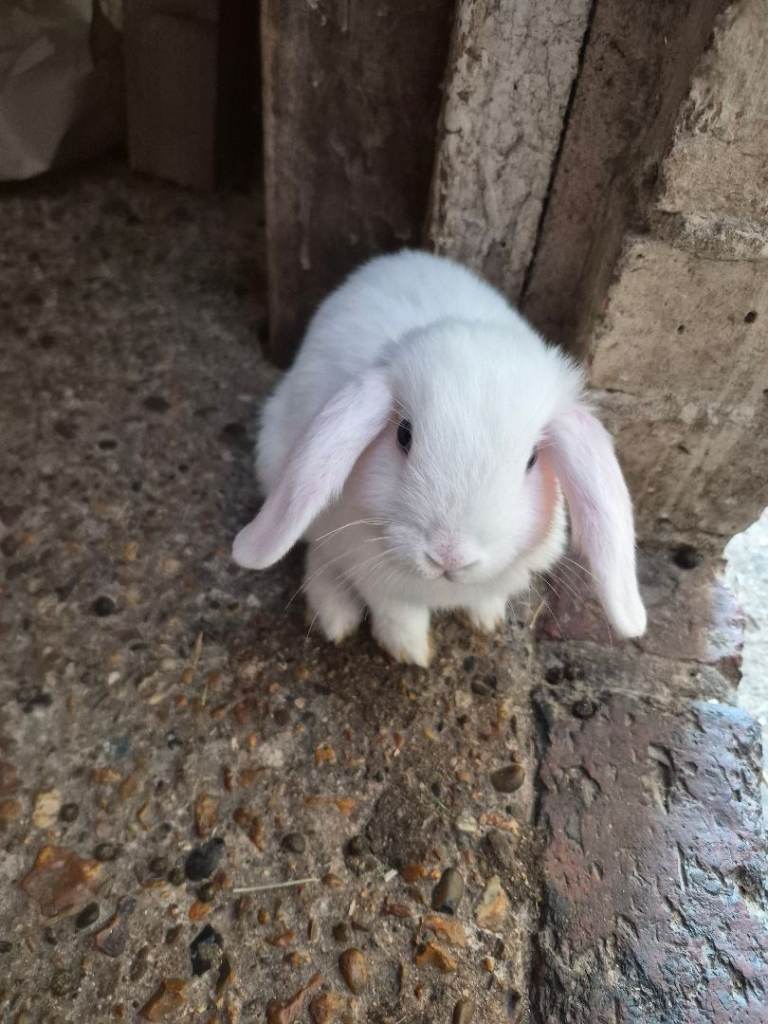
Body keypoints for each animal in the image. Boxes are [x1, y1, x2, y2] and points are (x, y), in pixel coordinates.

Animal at [232, 249, 647, 666]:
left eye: (532, 460)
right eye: (403, 435)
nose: (449, 556)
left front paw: (485, 619)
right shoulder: (373, 573)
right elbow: (397, 612)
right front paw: (411, 652)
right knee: (316, 549)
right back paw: (335, 618)